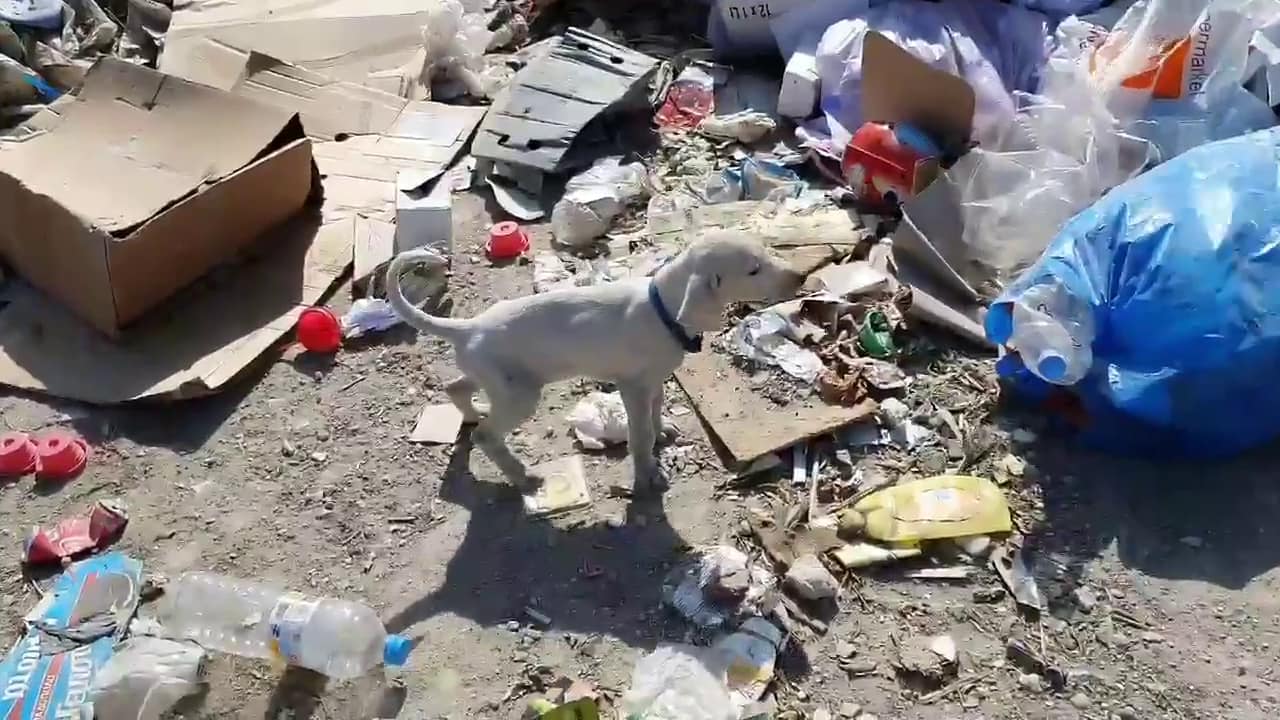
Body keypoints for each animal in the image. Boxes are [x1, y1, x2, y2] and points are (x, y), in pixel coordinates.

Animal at [381, 234, 798, 491]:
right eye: (753, 270)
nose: (800, 276)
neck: (664, 307)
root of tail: (468, 327)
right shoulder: (632, 386)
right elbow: (639, 435)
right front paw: (648, 474)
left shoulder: (654, 379)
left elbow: (655, 411)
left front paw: (663, 431)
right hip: (520, 394)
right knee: (487, 435)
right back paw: (521, 476)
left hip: (498, 379)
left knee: (456, 387)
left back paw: (471, 414)